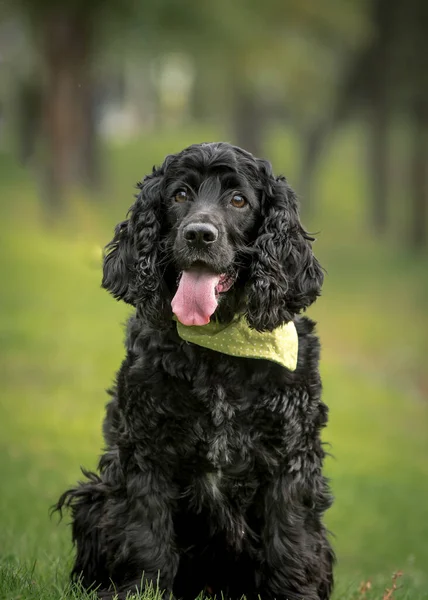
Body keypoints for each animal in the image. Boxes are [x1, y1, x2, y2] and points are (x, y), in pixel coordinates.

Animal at [55, 142, 334, 600]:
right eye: (180, 195)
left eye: (238, 200)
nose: (199, 234)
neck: (219, 347)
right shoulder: (144, 448)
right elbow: (147, 534)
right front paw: (140, 590)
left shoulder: (291, 456)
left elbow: (290, 541)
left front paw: (294, 593)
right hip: (95, 495)